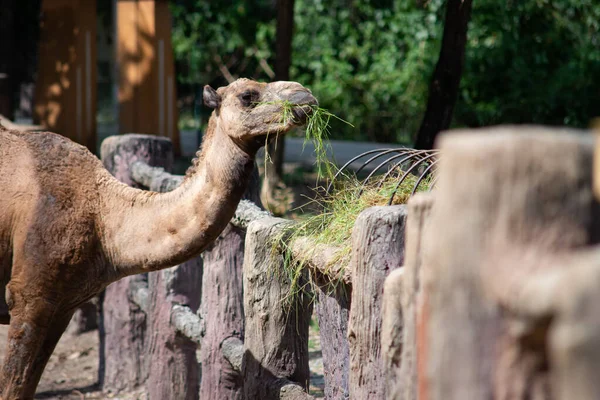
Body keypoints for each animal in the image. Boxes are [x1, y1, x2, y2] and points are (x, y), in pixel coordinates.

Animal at [0, 79, 318, 400]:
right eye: (247, 95)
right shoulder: (29, 296)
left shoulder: (62, 306)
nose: (305, 96)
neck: (104, 221)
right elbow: (13, 387)